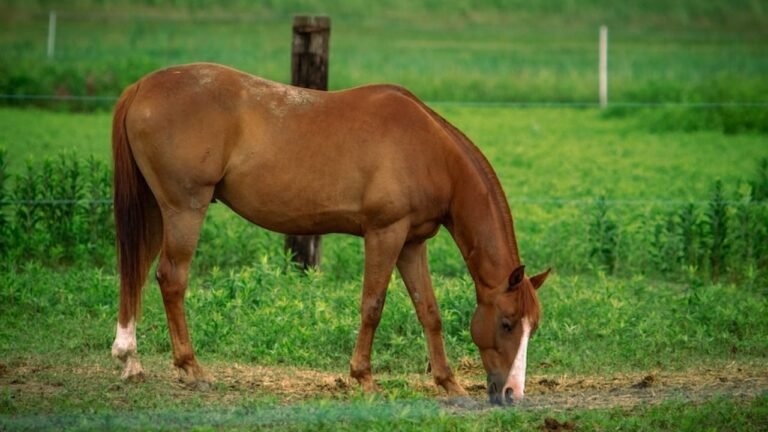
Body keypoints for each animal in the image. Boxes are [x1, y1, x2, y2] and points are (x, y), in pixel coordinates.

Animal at [110, 63, 550, 405]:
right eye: (507, 322)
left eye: (533, 326)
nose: (512, 394)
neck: (430, 151)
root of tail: (140, 87)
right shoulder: (385, 233)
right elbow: (373, 305)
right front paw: (364, 378)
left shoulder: (412, 242)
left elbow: (429, 311)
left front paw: (449, 384)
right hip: (185, 210)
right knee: (171, 278)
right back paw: (191, 368)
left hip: (154, 210)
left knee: (135, 274)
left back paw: (130, 360)